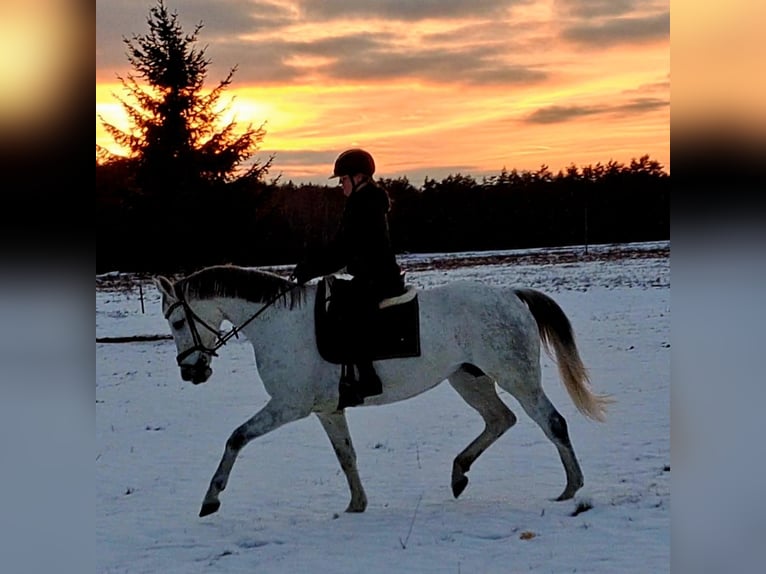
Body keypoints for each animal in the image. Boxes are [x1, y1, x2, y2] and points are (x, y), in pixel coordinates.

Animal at [154, 265, 613, 518]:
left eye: (176, 322)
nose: (191, 373)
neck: (278, 325)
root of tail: (511, 296)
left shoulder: (288, 406)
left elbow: (236, 438)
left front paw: (211, 499)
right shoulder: (327, 410)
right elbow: (346, 456)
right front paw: (356, 504)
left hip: (517, 377)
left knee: (551, 422)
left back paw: (571, 488)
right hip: (468, 378)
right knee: (501, 420)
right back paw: (459, 473)